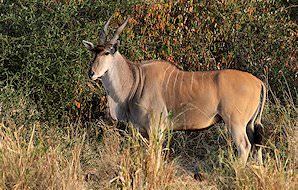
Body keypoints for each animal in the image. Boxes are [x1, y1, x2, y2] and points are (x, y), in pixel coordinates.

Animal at [82, 16, 266, 165]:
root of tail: (258, 82)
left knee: (244, 146)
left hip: (235, 122)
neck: (136, 80)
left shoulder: (156, 128)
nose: (91, 73)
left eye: (107, 52)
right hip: (249, 124)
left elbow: (154, 157)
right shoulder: (141, 129)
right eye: (94, 52)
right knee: (256, 146)